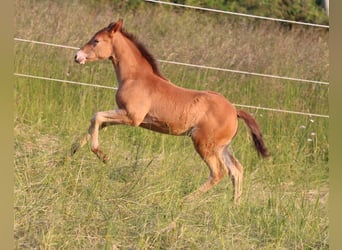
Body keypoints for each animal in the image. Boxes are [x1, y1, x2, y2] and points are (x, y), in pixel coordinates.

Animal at [73, 19, 270, 203]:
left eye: (96, 41)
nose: (77, 56)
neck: (136, 77)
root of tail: (235, 110)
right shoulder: (121, 112)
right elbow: (96, 121)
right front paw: (72, 151)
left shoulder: (132, 117)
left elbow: (97, 116)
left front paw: (101, 155)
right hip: (222, 147)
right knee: (236, 170)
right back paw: (234, 205)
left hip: (203, 143)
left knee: (218, 172)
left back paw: (186, 199)